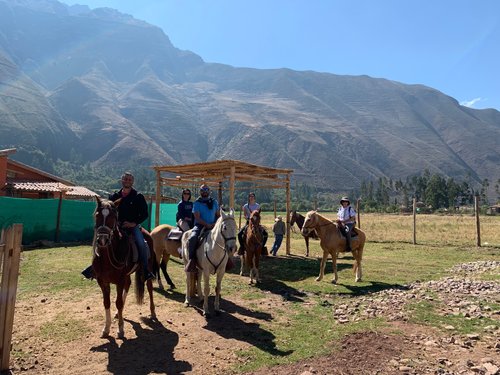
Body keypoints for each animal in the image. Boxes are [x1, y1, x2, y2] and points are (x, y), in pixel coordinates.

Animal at [92, 198, 156, 340]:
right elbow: (107, 302)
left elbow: (119, 302)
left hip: (147, 269)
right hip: (127, 274)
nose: (102, 240)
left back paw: (153, 312)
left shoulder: (119, 280)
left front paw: (120, 330)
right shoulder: (102, 281)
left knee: (149, 288)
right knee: (129, 284)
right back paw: (117, 313)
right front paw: (106, 329)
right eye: (97, 216)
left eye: (113, 217)